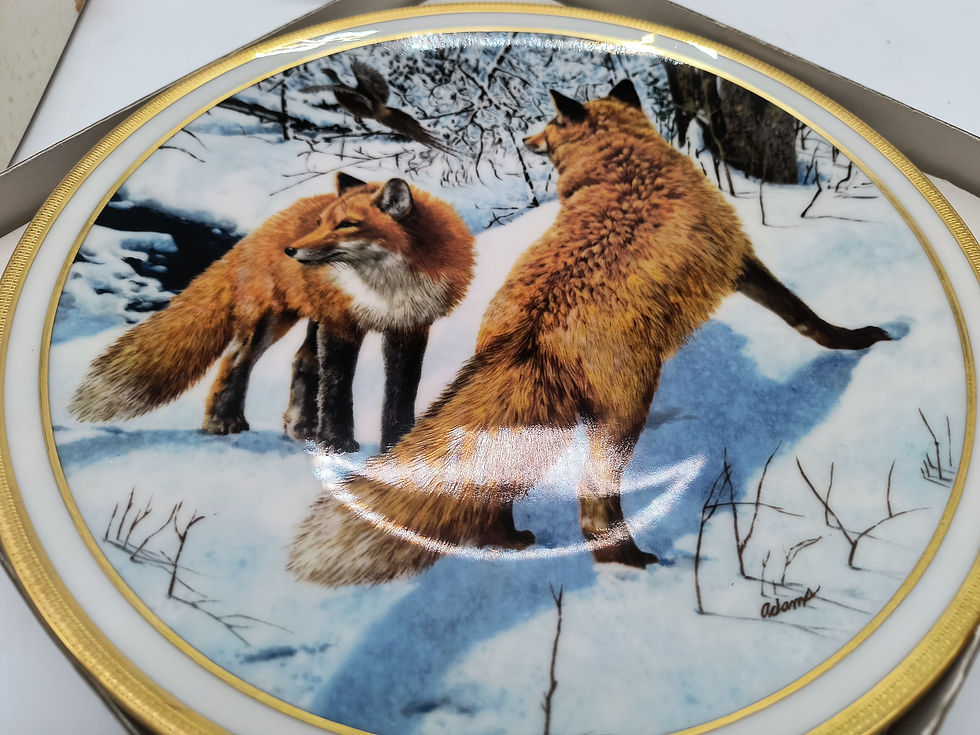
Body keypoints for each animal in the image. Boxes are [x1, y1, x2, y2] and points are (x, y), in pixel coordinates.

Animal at [70, 174, 475, 451]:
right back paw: (223, 421)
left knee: (301, 361)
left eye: (347, 224)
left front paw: (396, 443)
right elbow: (338, 389)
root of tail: (262, 229)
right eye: (322, 223)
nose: (291, 251)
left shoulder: (410, 328)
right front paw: (337, 443)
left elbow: (402, 392)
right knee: (235, 360)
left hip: (311, 319)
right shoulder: (342, 323)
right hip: (272, 320)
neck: (387, 288)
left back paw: (300, 428)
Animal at [287, 79, 892, 588]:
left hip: (542, 428)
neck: (620, 164)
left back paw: (507, 541)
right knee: (592, 509)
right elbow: (804, 317)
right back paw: (629, 563)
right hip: (624, 415)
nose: (528, 137)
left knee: (495, 487)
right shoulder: (741, 261)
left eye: (549, 124)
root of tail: (532, 326)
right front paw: (854, 341)